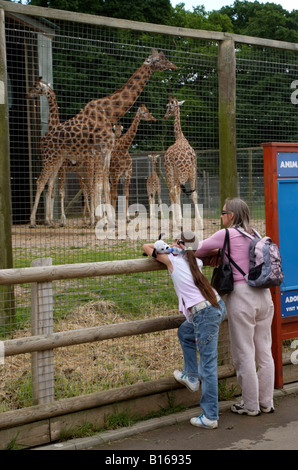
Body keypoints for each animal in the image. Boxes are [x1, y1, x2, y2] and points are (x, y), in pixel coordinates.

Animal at [26, 77, 95, 228]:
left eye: (36, 87)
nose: (27, 95)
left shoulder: (61, 168)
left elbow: (60, 193)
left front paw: (61, 220)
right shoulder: (57, 167)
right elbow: (51, 190)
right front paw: (50, 220)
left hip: (86, 168)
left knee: (93, 188)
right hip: (80, 170)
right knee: (88, 190)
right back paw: (89, 220)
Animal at [163, 96, 203, 231]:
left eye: (167, 106)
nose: (165, 116)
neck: (180, 137)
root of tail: (170, 156)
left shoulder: (175, 172)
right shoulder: (193, 168)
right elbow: (194, 194)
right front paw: (200, 223)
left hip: (169, 171)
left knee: (172, 190)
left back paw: (175, 223)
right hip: (183, 172)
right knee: (176, 190)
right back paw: (179, 222)